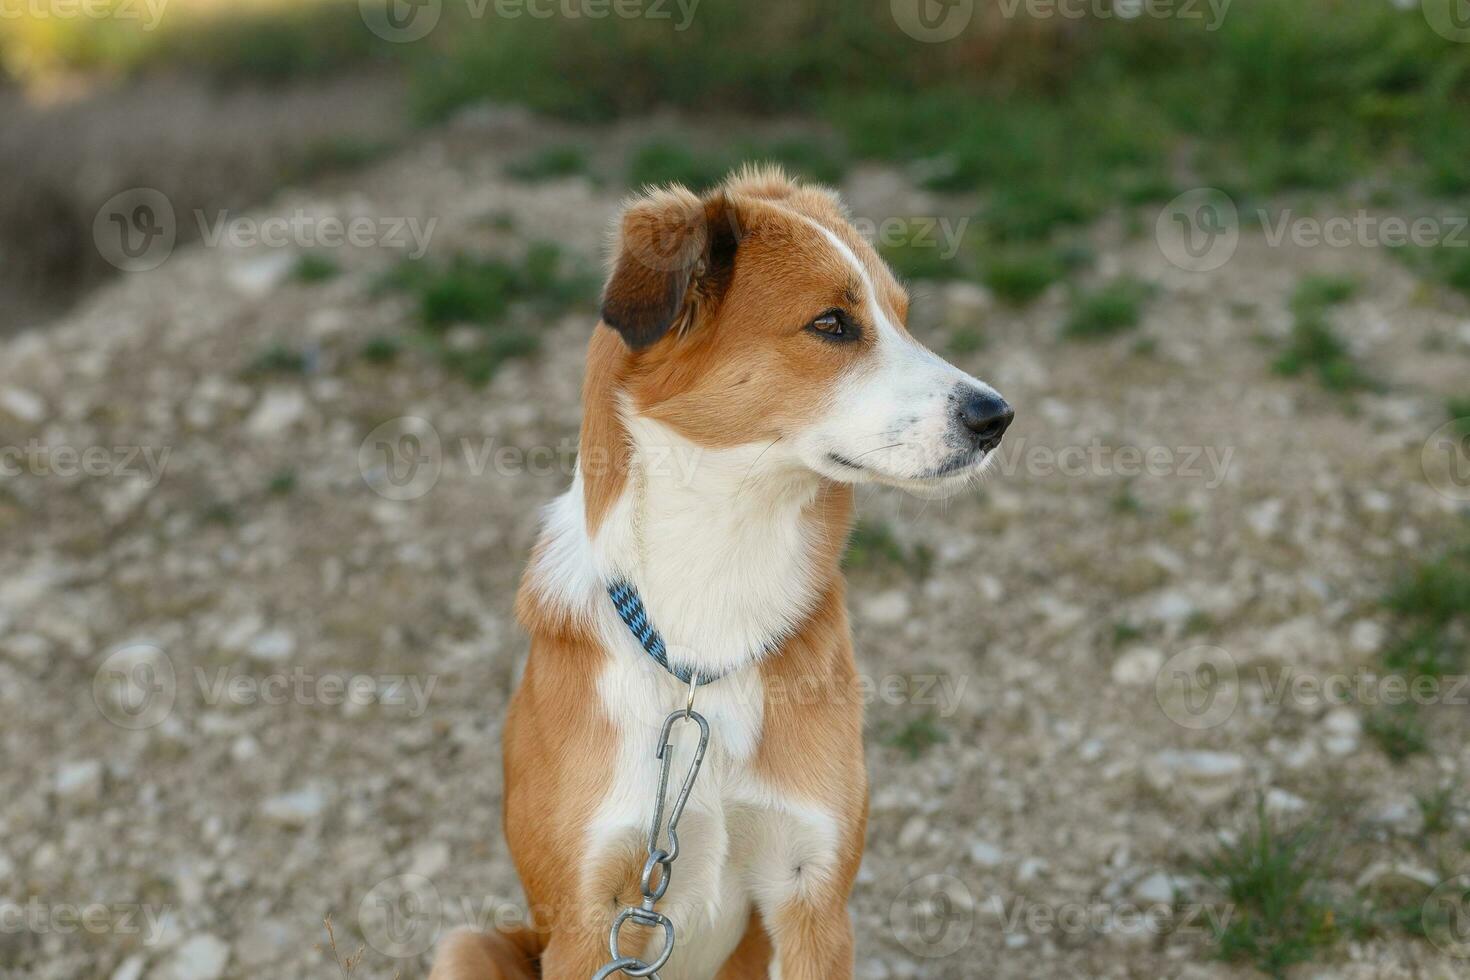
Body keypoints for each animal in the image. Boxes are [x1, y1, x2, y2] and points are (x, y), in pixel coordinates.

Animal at [429, 168, 1017, 980]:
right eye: (833, 323)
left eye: (902, 317)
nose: (998, 417)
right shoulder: (585, 922)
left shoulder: (813, 898)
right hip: (468, 944)